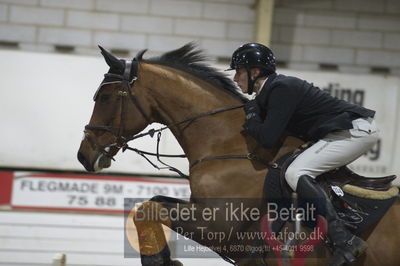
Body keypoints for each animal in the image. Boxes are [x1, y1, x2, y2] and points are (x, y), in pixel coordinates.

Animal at [78, 43, 400, 266]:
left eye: (105, 97)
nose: (84, 155)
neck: (228, 146)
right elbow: (151, 203)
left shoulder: (218, 224)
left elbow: (148, 209)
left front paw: (160, 260)